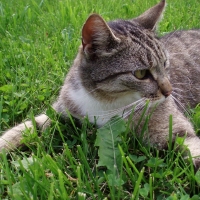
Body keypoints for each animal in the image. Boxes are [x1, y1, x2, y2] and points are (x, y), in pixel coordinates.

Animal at [0, 0, 200, 169]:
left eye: (165, 64)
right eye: (141, 74)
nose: (169, 91)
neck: (104, 101)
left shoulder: (174, 129)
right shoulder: (62, 108)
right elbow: (26, 127)